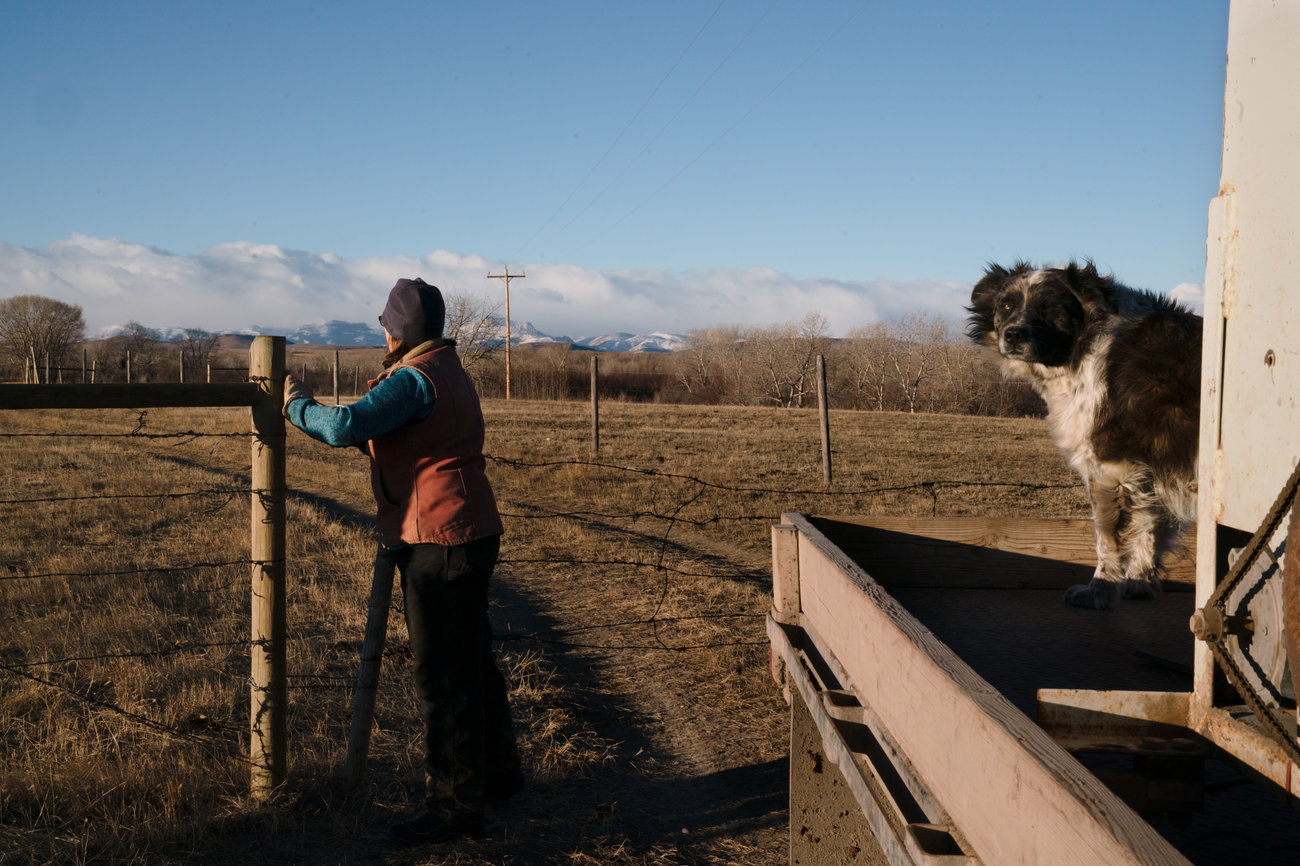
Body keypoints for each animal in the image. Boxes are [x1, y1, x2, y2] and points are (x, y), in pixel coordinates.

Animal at [967, 261, 1196, 605]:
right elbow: (1150, 526)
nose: (1013, 334)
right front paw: (1140, 581)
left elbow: (1107, 539)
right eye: (1005, 306)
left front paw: (1100, 590)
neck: (1087, 343)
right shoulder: (1148, 468)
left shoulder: (1109, 466)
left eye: (1050, 308)